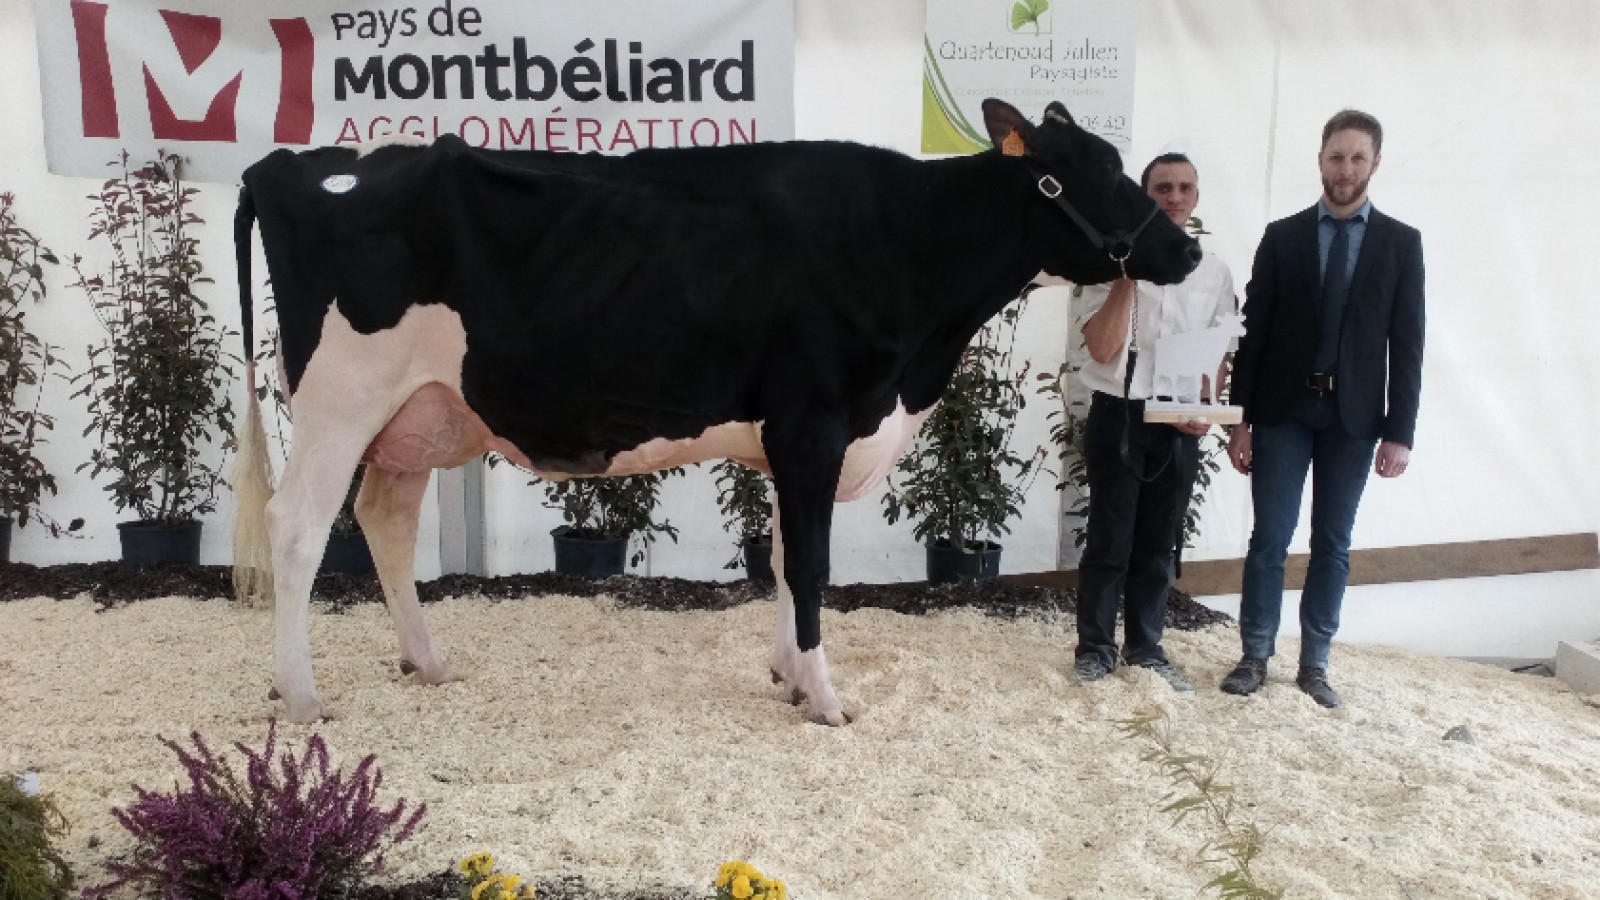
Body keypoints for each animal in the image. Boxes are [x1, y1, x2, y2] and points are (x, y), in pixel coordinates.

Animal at [228, 98, 1203, 720]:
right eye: (1101, 170)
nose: (1188, 252)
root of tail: (295, 161)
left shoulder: (788, 439)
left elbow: (777, 558)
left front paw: (787, 673)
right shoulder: (814, 421)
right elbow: (810, 565)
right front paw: (825, 697)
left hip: (418, 414)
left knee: (384, 521)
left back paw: (427, 663)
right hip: (340, 397)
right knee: (299, 527)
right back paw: (302, 696)